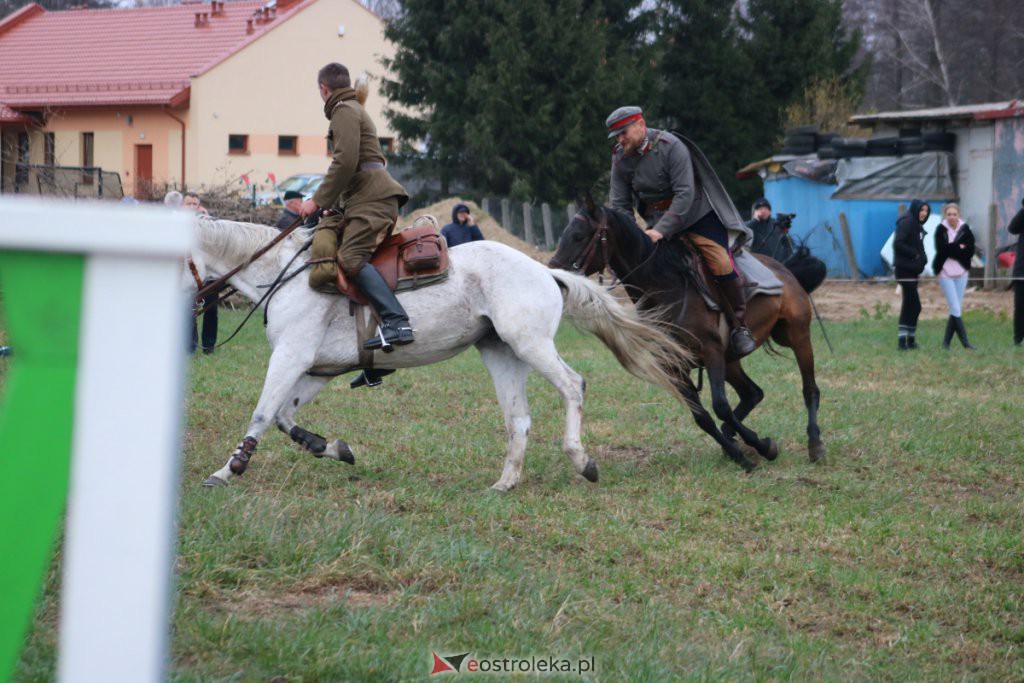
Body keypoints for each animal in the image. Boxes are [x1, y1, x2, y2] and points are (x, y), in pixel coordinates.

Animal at [188, 216, 692, 489]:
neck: (284, 275)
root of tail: (545, 271)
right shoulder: (315, 369)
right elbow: (283, 416)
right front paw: (331, 447)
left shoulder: (291, 358)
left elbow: (261, 413)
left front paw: (228, 470)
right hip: (502, 354)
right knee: (519, 418)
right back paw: (506, 482)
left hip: (530, 345)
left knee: (573, 385)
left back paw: (581, 460)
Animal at [548, 198, 827, 471]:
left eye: (578, 236)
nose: (554, 275)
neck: (664, 288)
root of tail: (784, 270)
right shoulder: (674, 367)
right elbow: (702, 417)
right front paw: (743, 453)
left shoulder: (711, 353)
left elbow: (720, 406)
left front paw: (759, 448)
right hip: (731, 359)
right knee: (753, 393)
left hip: (797, 335)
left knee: (809, 389)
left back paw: (815, 444)